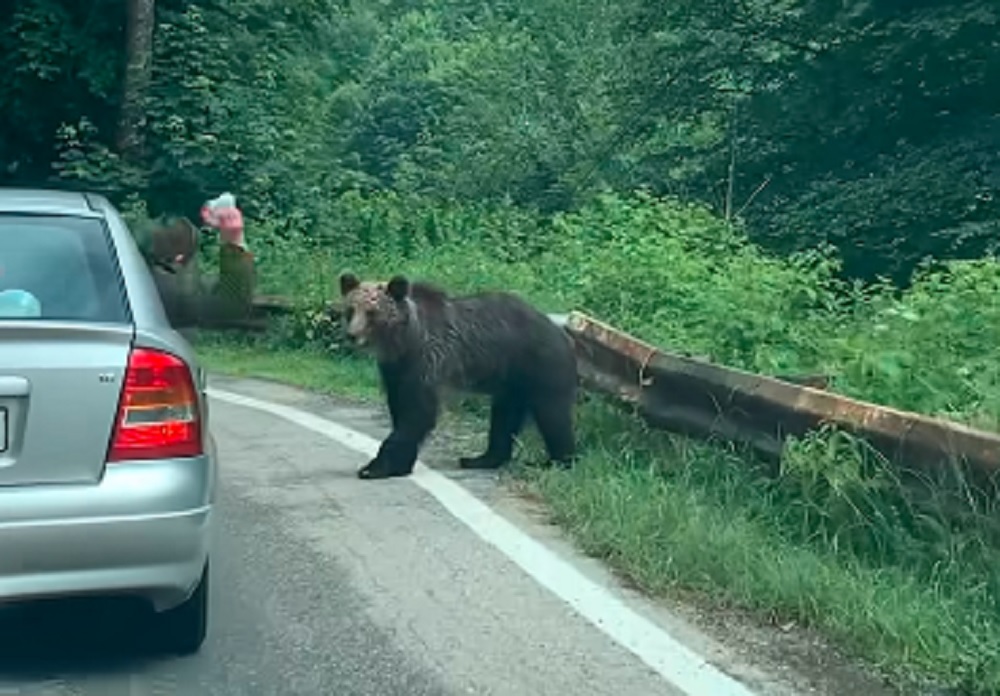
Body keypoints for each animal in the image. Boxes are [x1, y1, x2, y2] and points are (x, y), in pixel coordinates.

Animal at [338, 272, 580, 478]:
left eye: (372, 312)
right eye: (350, 309)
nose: (352, 335)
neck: (404, 341)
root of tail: (560, 331)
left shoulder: (427, 361)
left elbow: (417, 412)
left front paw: (375, 467)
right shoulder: (396, 369)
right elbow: (400, 406)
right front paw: (398, 464)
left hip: (540, 365)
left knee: (552, 414)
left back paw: (559, 461)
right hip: (512, 380)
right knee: (504, 416)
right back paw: (480, 458)